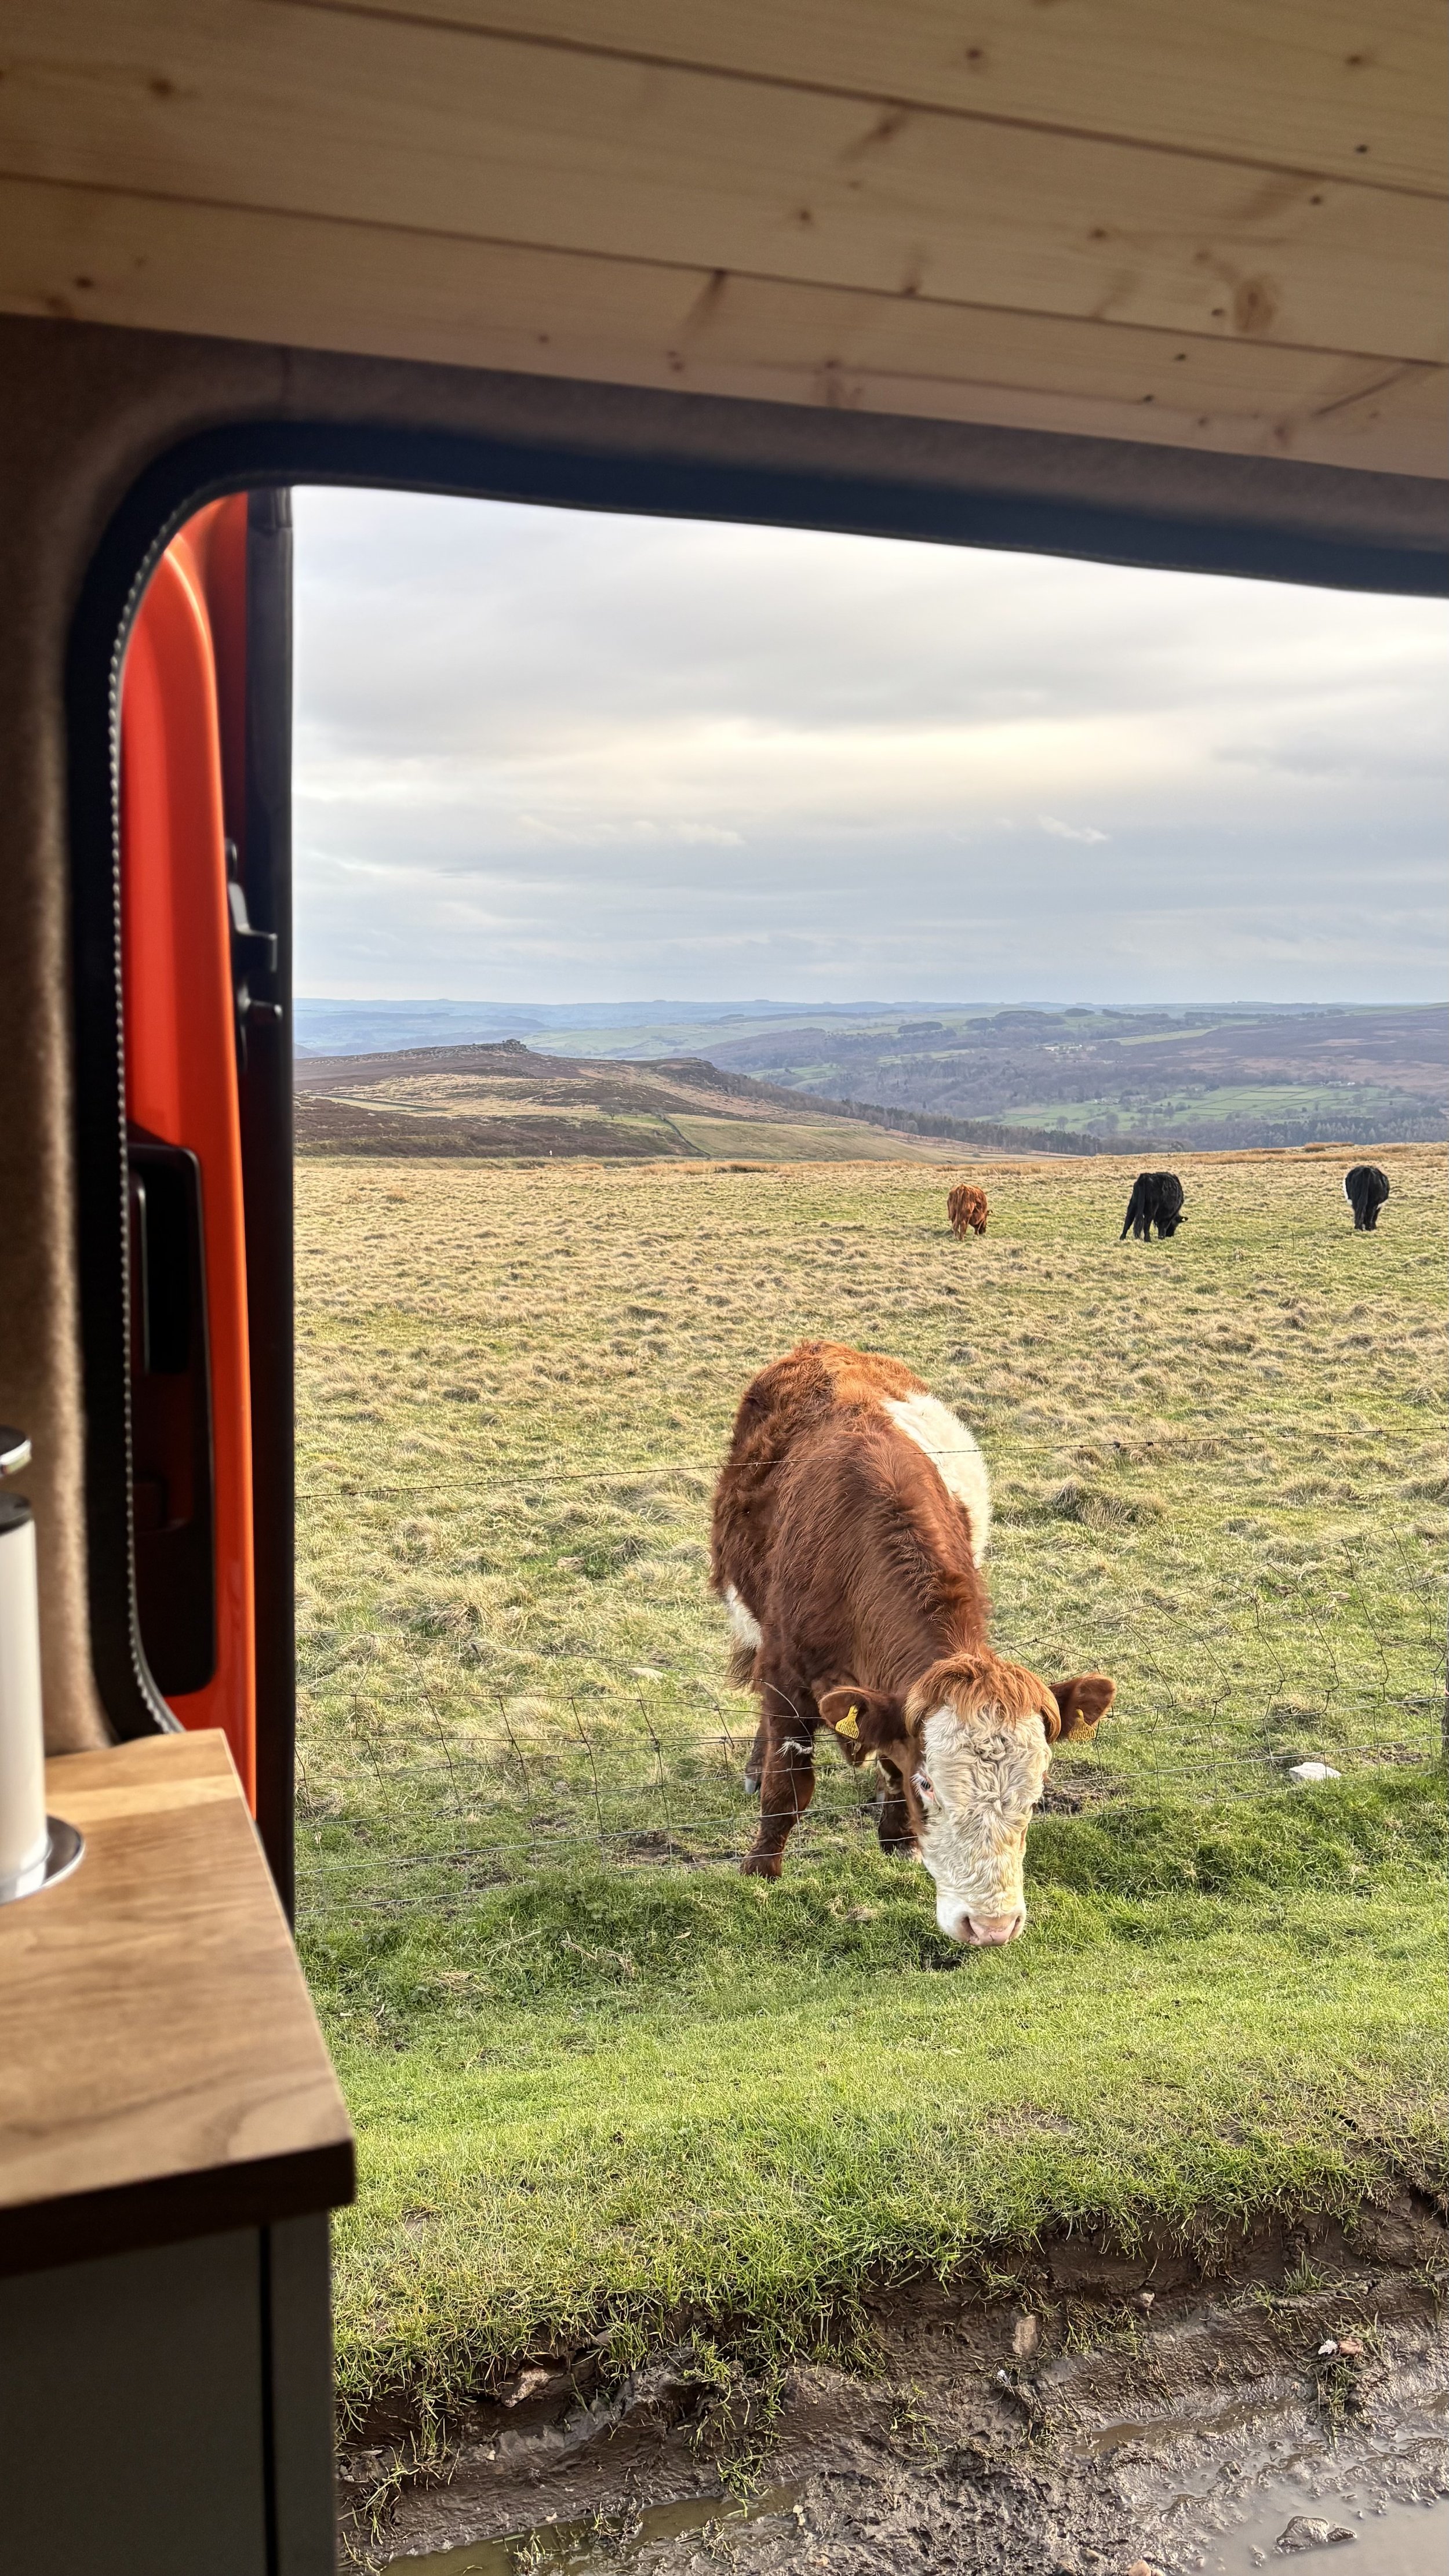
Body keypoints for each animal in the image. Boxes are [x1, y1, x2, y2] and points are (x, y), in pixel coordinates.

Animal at [710, 1341, 1115, 1946]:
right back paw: (754, 1769)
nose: (992, 1926)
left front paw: (898, 1842)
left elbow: (886, 1761)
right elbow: (788, 1789)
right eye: (928, 1784)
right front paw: (761, 1870)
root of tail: (822, 1348)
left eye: (1039, 1791)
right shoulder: (786, 1674)